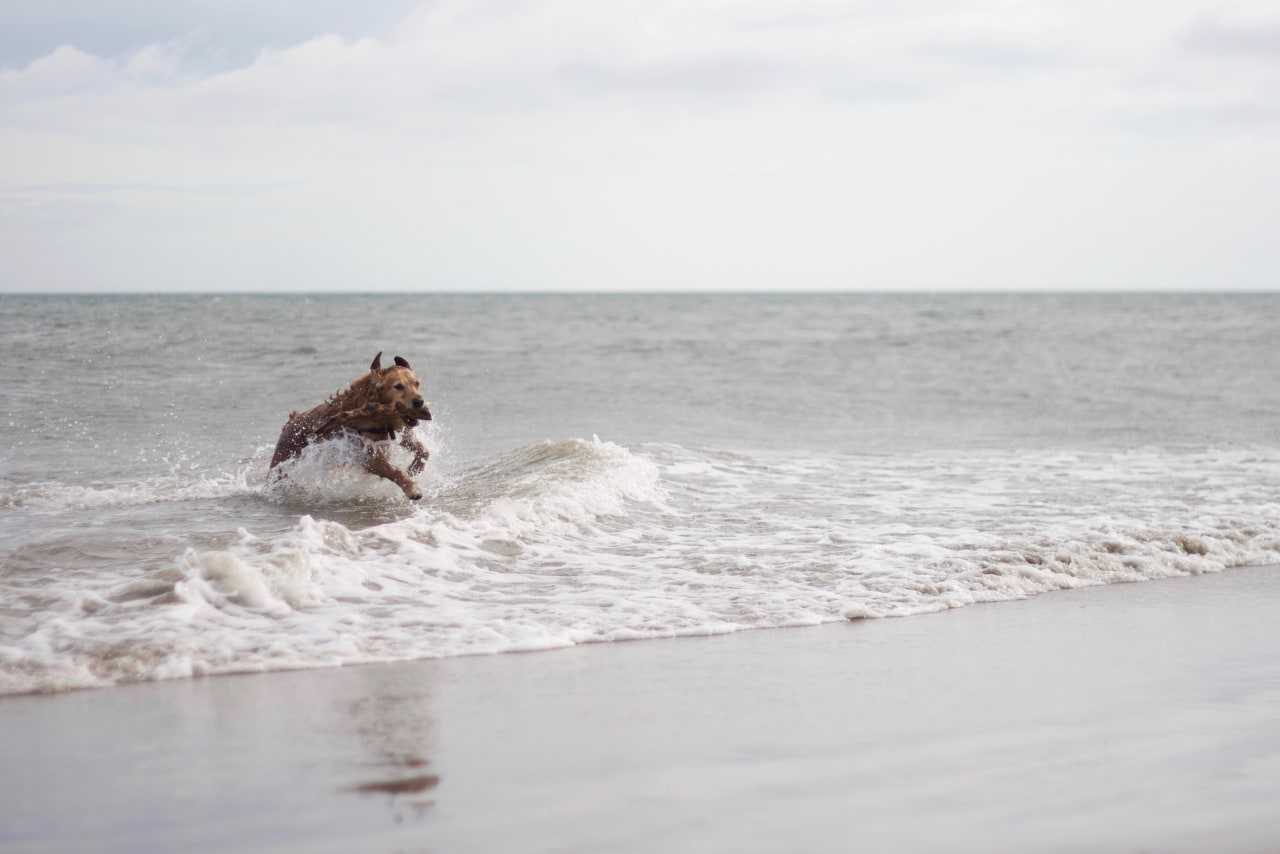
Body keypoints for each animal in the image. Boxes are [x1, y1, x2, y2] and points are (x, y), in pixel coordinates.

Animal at [267, 353, 432, 501]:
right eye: (398, 386)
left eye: (417, 383)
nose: (419, 402)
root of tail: (291, 421)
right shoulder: (366, 455)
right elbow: (393, 470)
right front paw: (411, 488)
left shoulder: (399, 433)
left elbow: (423, 451)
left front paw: (414, 468)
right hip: (284, 461)